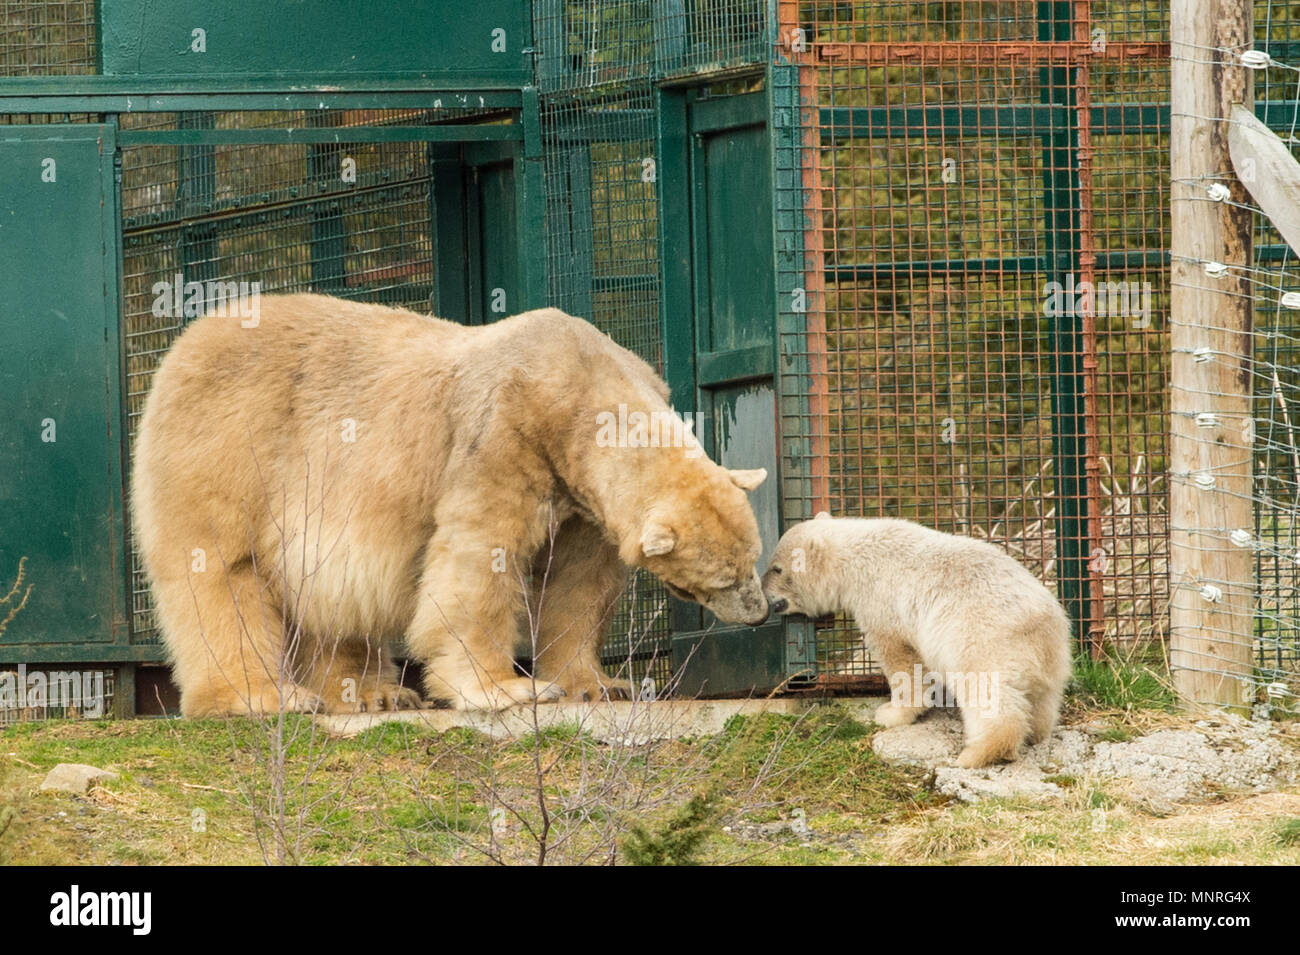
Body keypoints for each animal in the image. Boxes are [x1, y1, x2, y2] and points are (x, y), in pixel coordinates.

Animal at [132, 293, 769, 717]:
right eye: (716, 580)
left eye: (751, 561)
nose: (762, 613)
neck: (579, 384)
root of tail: (185, 343)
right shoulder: (503, 436)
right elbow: (479, 558)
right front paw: (507, 688)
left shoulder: (576, 489)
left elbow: (578, 581)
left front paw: (599, 684)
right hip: (232, 446)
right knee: (221, 568)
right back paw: (263, 696)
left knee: (331, 602)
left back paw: (374, 693)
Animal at [761, 514, 1072, 768]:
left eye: (776, 568)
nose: (763, 591)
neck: (857, 555)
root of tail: (1044, 621)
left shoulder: (882, 600)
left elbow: (900, 658)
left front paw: (890, 713)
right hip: (1050, 654)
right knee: (1042, 697)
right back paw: (1035, 733)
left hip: (981, 637)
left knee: (986, 691)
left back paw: (978, 753)